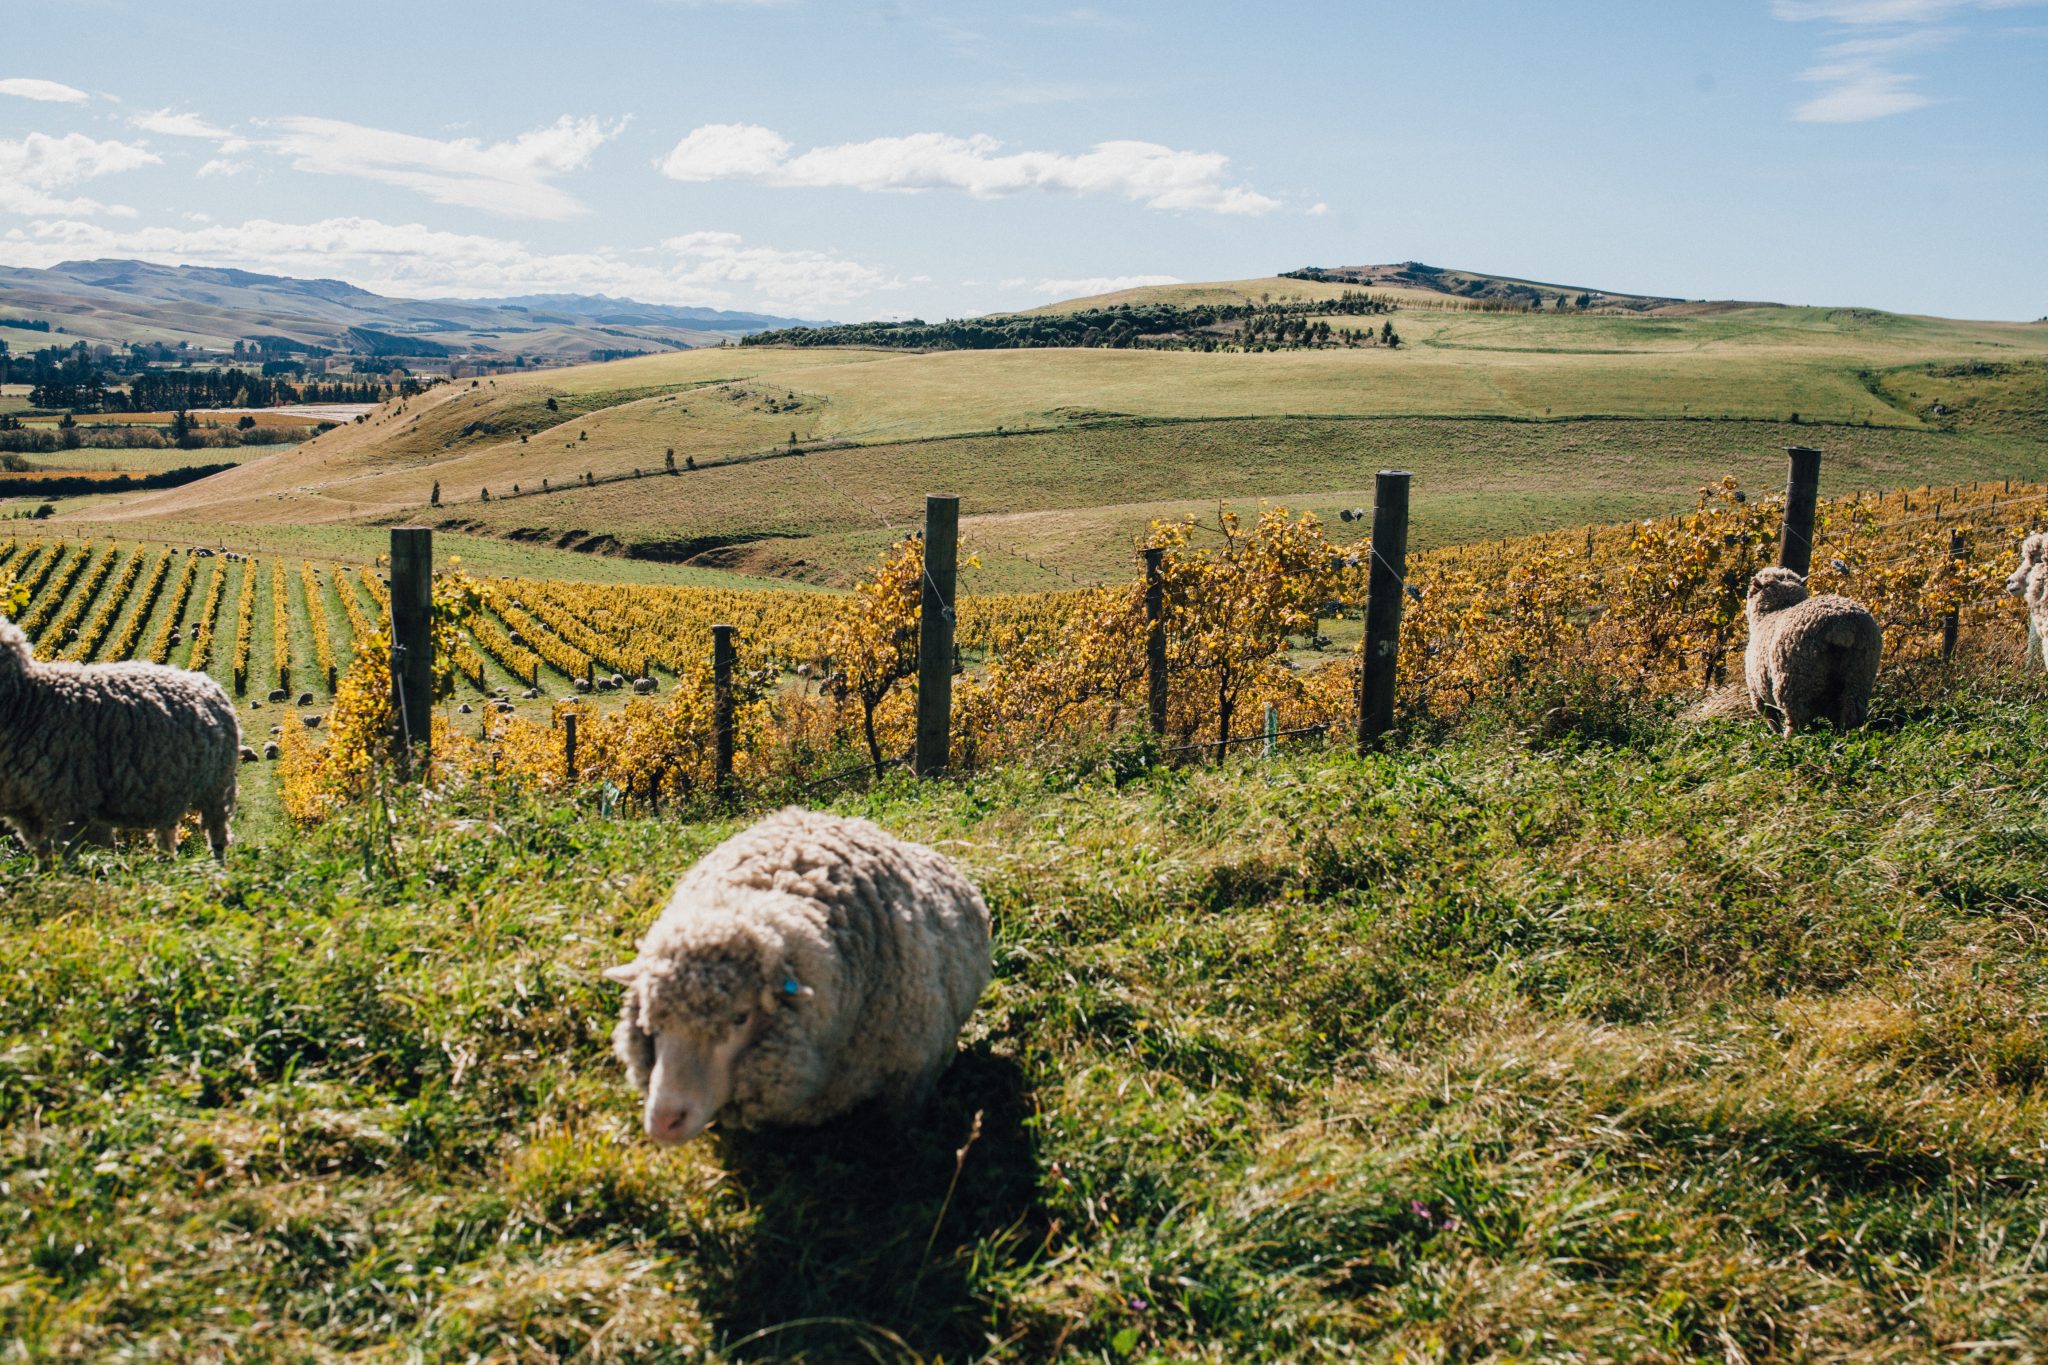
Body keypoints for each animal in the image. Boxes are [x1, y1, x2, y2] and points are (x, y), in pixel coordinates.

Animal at [0, 609, 239, 859]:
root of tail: (209, 686)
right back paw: (166, 860)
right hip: (167, 787)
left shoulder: (68, 806)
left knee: (217, 832)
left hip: (215, 788)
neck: (29, 699)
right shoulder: (32, 813)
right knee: (167, 831)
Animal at [1744, 564, 1884, 736]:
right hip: (1860, 672)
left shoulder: (1757, 694)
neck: (1776, 609)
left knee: (1795, 718)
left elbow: (1772, 719)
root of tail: (1842, 626)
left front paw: (1775, 734)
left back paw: (1789, 739)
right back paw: (1846, 735)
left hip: (1793, 681)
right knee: (1852, 709)